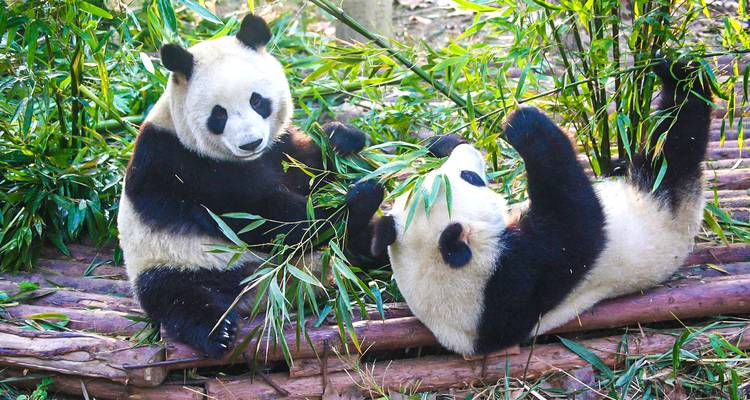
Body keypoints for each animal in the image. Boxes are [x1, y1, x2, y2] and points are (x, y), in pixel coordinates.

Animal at [117, 15, 369, 358]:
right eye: (219, 114)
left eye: (257, 100)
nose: (250, 143)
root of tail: (260, 291)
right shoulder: (186, 167)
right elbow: (264, 216)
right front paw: (347, 204)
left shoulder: (278, 147)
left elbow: (306, 167)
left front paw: (343, 138)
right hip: (170, 259)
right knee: (180, 298)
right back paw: (218, 332)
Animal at [345, 60, 712, 356]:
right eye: (470, 178)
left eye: (455, 173)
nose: (469, 152)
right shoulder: (520, 278)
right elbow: (578, 221)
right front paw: (524, 123)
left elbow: (365, 252)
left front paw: (431, 147)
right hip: (664, 202)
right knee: (678, 143)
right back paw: (682, 77)